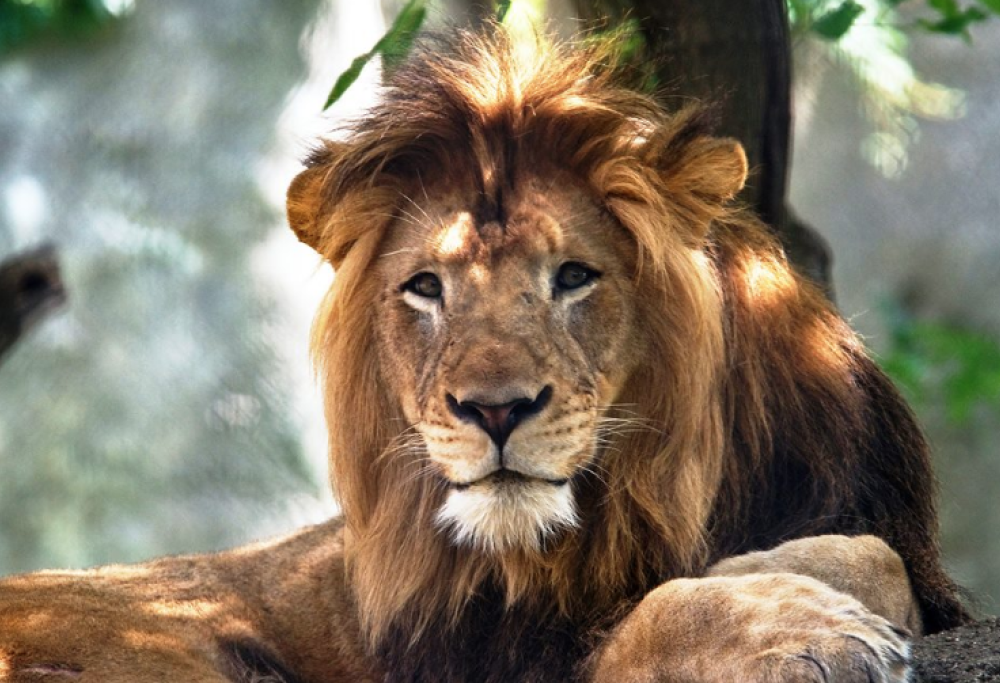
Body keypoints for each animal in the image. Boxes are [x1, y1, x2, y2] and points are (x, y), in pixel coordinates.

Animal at [0, 25, 968, 683]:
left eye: (573, 275)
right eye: (425, 287)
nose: (493, 409)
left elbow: (869, 554)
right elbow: (656, 615)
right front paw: (799, 628)